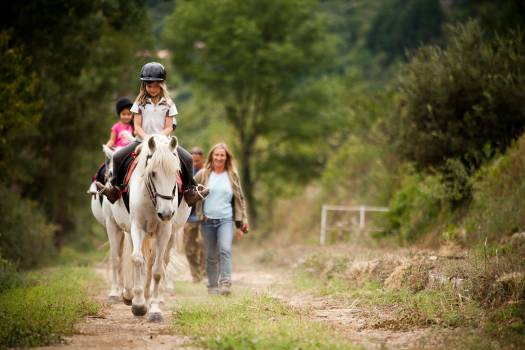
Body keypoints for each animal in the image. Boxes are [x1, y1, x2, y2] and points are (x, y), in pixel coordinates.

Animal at [119, 135, 189, 322]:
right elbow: (136, 259)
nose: (166, 213)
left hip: (169, 235)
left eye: (175, 172)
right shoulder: (137, 227)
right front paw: (138, 305)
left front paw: (155, 310)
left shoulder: (164, 231)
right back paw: (132, 295)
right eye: (153, 173)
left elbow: (157, 270)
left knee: (158, 261)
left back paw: (149, 296)